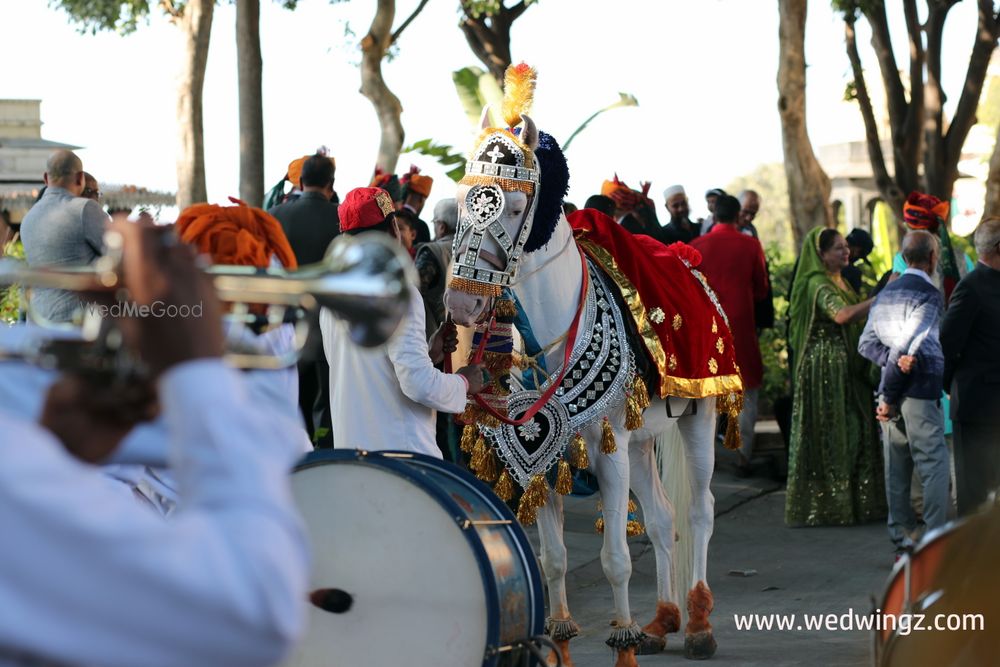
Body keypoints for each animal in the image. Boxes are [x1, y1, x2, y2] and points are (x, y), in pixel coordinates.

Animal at [448, 115, 728, 667]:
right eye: (463, 198)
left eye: (515, 207)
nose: (461, 304)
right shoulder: (544, 455)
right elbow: (553, 560)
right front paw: (560, 640)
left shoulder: (607, 450)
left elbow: (616, 559)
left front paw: (623, 644)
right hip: (641, 441)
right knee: (662, 519)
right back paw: (662, 621)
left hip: (697, 417)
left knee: (699, 511)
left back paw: (699, 624)